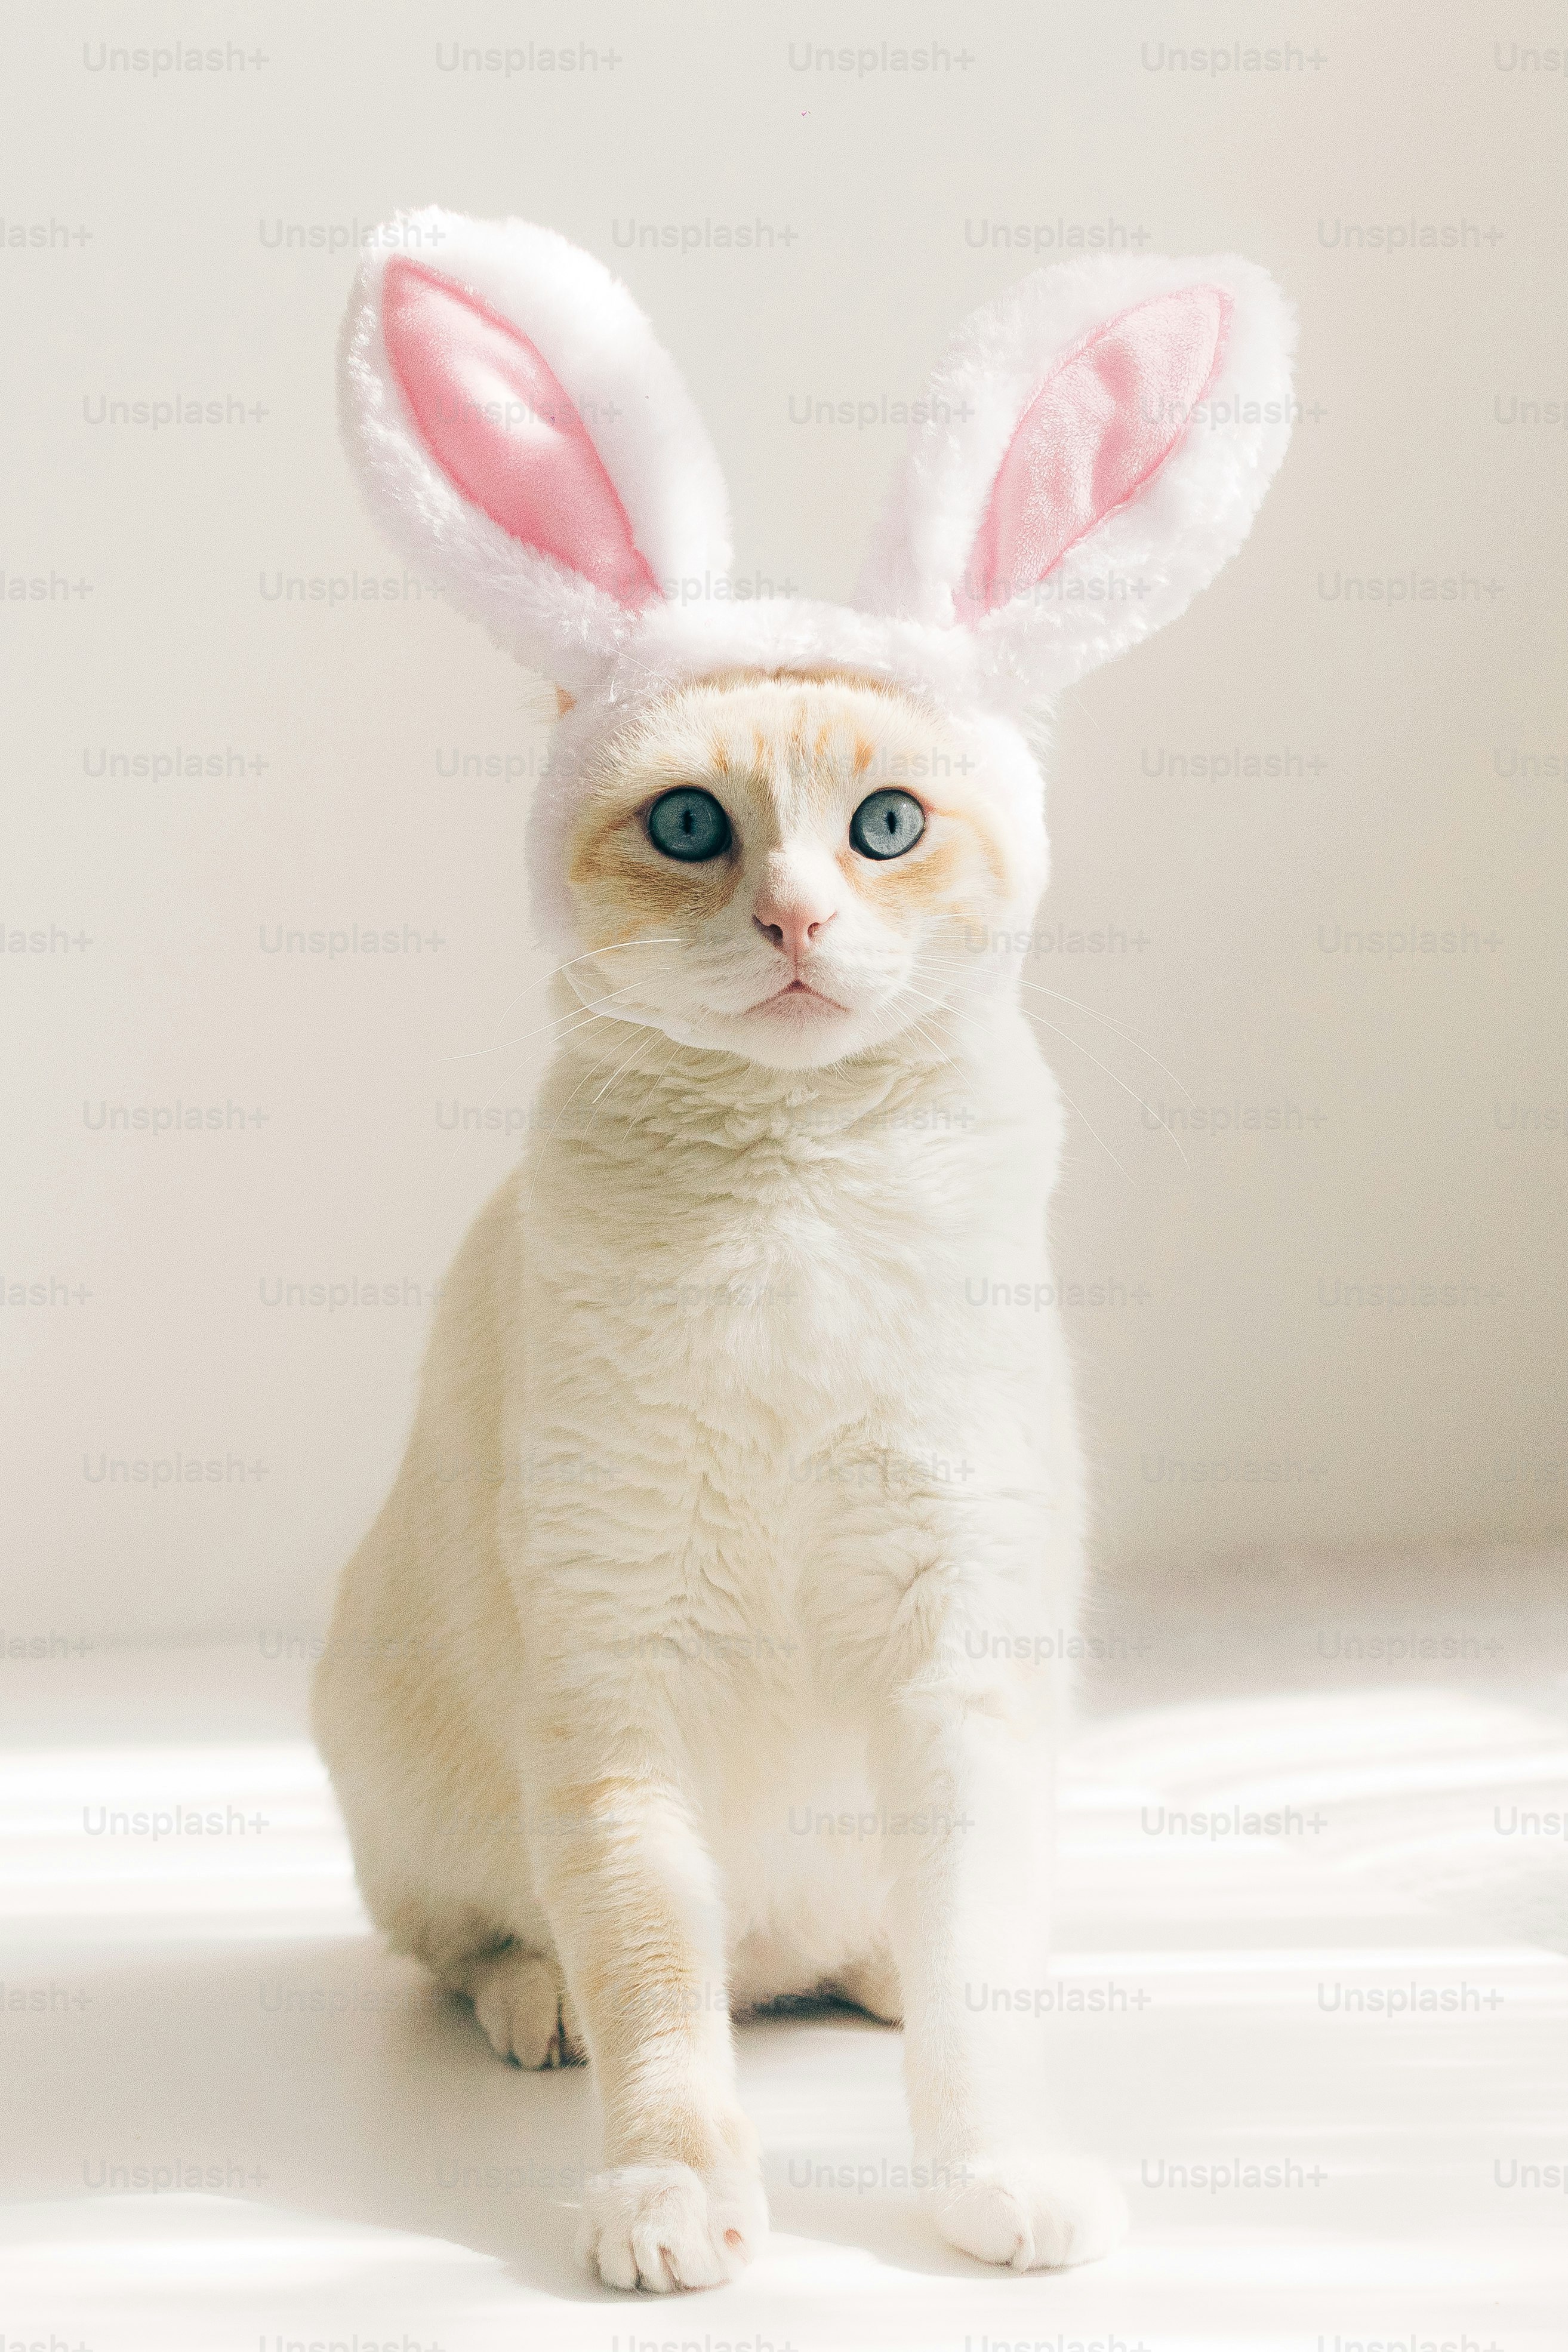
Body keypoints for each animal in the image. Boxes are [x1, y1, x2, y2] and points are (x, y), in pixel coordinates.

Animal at [312, 209, 1294, 2292]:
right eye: (691, 824)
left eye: (885, 825)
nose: (789, 918)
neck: (793, 1212)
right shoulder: (614, 1685)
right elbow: (659, 2005)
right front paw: (672, 2202)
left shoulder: (957, 1658)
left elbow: (980, 1990)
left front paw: (999, 2177)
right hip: (413, 1770)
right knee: (510, 1951)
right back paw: (540, 2007)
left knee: (881, 1957)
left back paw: (867, 1982)